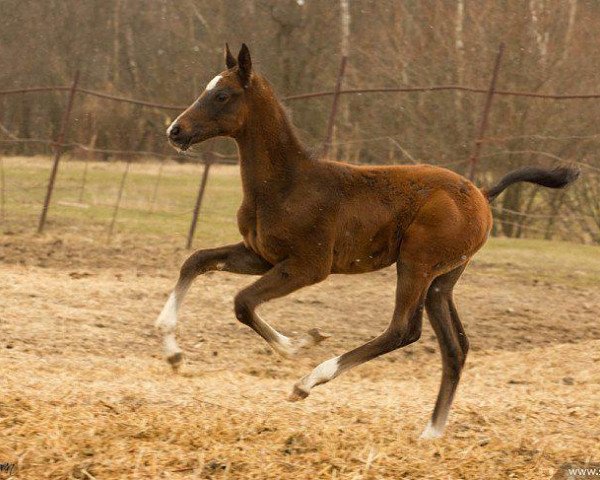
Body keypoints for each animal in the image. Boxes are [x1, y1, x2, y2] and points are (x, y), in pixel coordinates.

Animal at [157, 45, 580, 438]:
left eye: (222, 94)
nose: (175, 131)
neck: (287, 184)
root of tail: (482, 194)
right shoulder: (260, 255)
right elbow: (195, 261)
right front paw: (173, 352)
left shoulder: (308, 267)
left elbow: (242, 302)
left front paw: (301, 343)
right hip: (442, 280)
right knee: (455, 346)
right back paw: (431, 432)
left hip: (416, 264)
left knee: (404, 330)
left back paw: (310, 381)